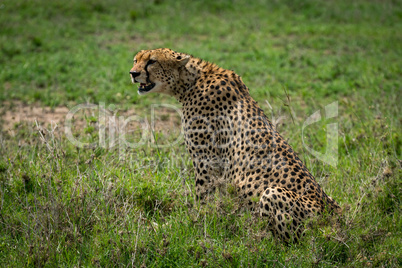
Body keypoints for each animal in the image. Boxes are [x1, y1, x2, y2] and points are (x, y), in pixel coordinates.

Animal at [130, 48, 340, 243]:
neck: (191, 80)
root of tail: (336, 217)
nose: (133, 73)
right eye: (135, 60)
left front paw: (192, 225)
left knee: (290, 245)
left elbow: (202, 198)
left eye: (152, 61)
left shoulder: (206, 160)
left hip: (273, 192)